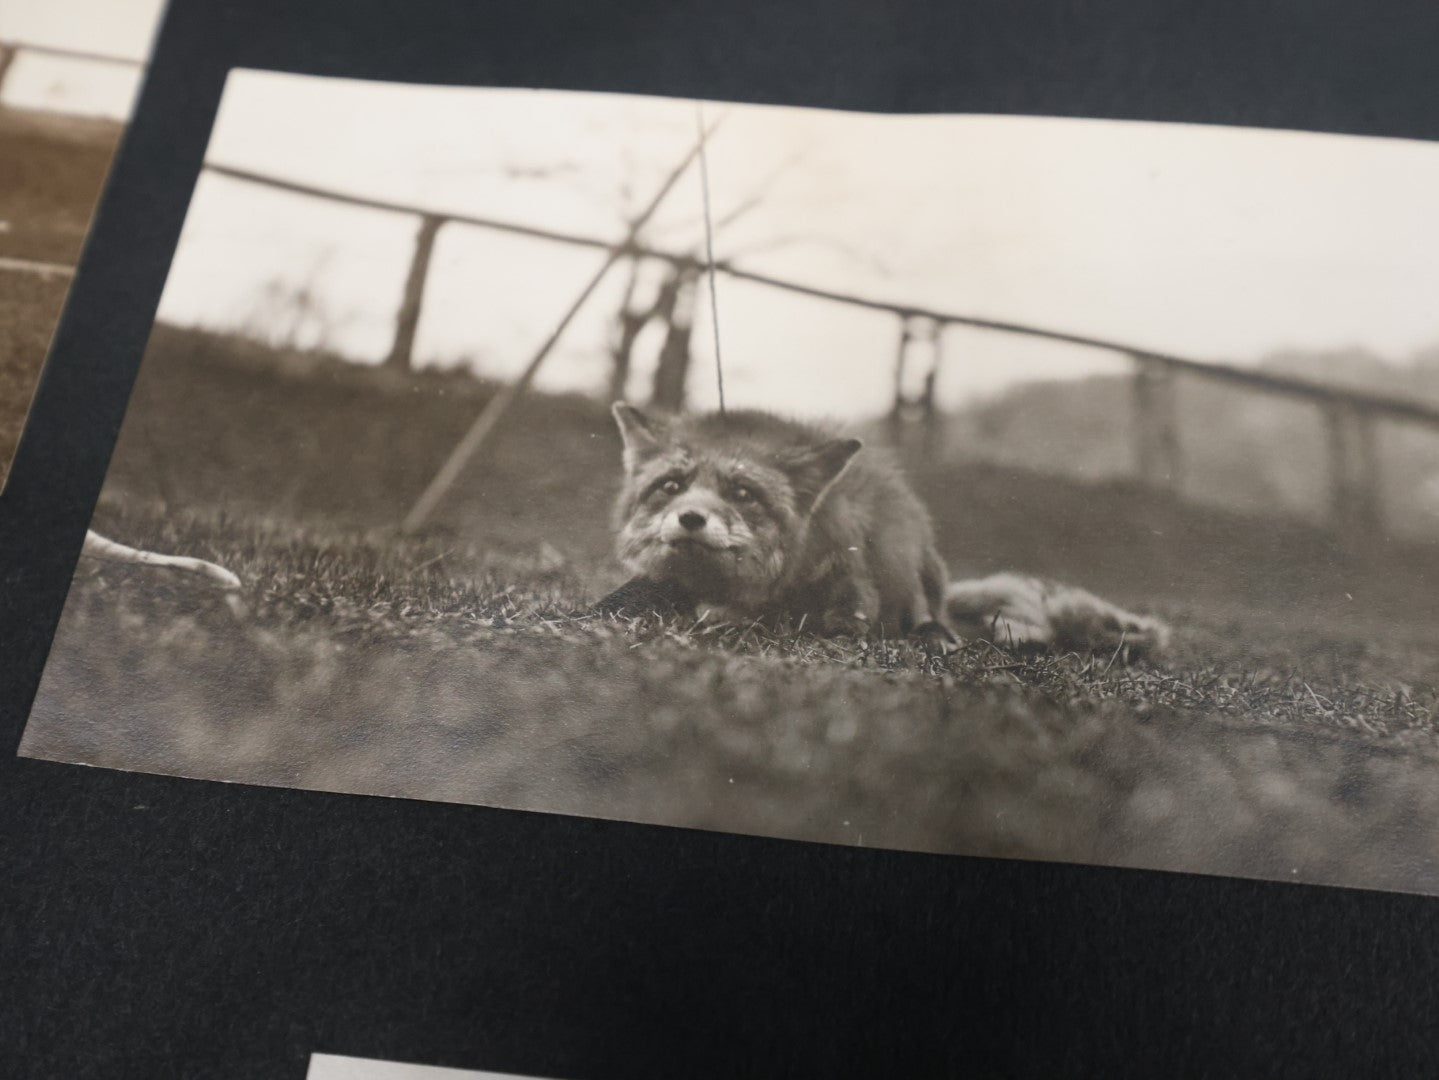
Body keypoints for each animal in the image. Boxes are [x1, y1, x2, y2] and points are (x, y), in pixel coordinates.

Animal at [595, 405, 1168, 658]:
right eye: (671, 486)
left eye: (742, 493)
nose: (691, 518)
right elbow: (623, 600)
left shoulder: (844, 595)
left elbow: (829, 620)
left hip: (913, 554)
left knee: (943, 616)